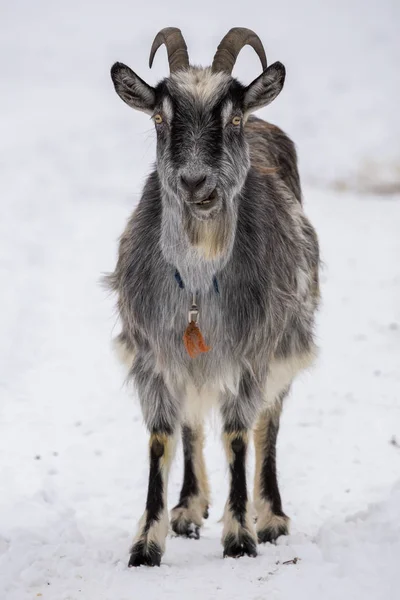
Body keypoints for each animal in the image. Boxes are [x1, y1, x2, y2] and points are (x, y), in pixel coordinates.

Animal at [108, 24, 320, 568]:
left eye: (234, 118)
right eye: (160, 118)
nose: (195, 183)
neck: (199, 283)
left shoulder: (251, 351)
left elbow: (239, 435)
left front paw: (241, 536)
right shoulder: (154, 352)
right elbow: (164, 436)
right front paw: (147, 543)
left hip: (286, 340)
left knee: (269, 423)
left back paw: (272, 518)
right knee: (191, 421)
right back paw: (188, 508)